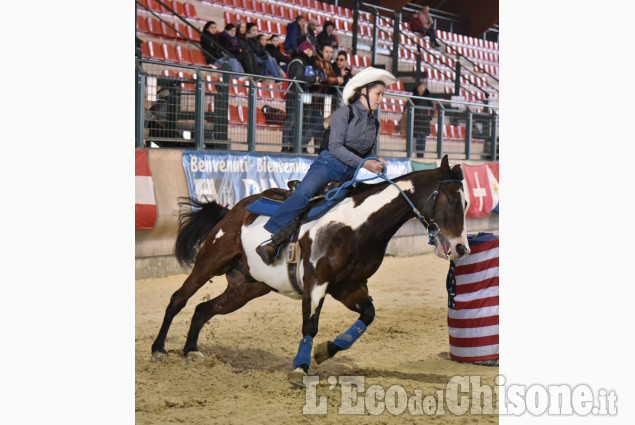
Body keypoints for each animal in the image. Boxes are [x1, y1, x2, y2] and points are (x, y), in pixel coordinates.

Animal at [152, 155, 470, 384]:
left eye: (467, 202)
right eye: (453, 200)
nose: (461, 248)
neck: (358, 225)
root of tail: (233, 210)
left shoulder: (349, 286)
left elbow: (367, 315)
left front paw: (325, 350)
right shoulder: (316, 282)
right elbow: (310, 325)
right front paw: (300, 367)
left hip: (247, 287)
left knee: (203, 309)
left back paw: (191, 351)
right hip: (210, 261)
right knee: (179, 299)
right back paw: (158, 349)